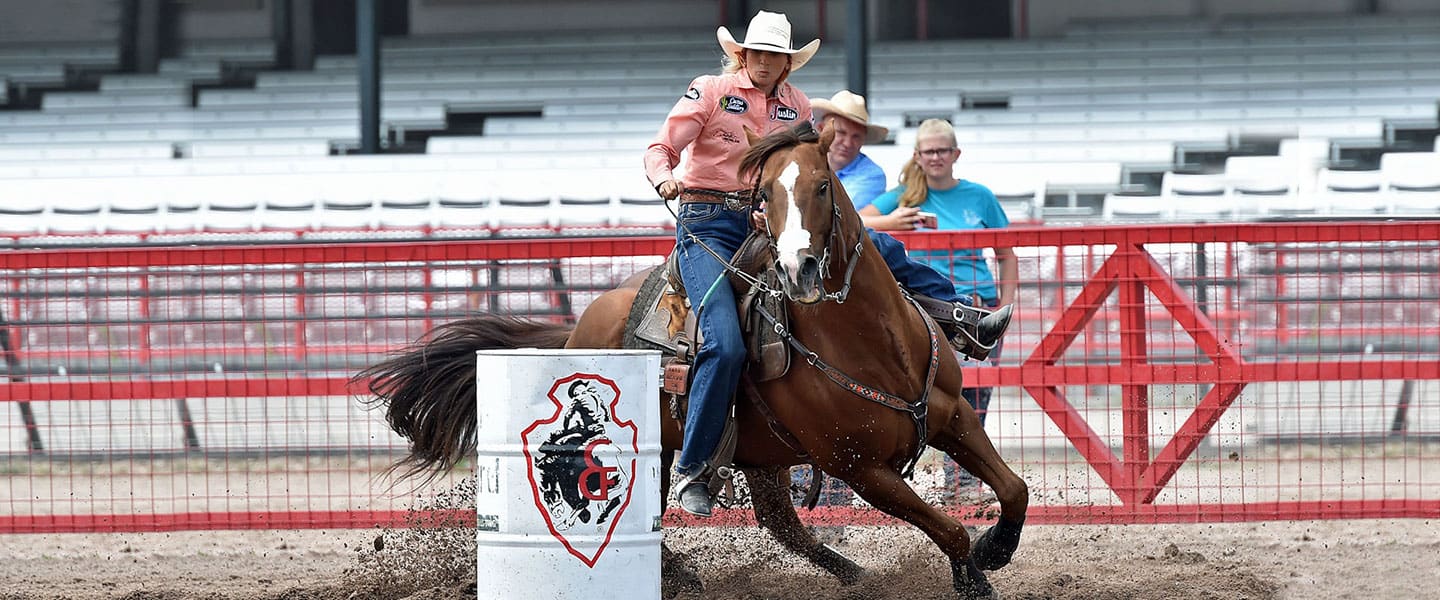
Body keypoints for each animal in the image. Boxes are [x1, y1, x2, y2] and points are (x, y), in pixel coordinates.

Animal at [365, 123, 1031, 598]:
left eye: (822, 186)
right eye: (764, 196)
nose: (799, 270)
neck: (875, 346)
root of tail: (581, 325)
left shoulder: (954, 417)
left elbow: (1014, 488)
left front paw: (994, 550)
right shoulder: (860, 469)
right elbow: (947, 526)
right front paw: (975, 573)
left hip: (761, 454)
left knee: (785, 526)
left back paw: (857, 577)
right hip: (653, 455)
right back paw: (683, 573)